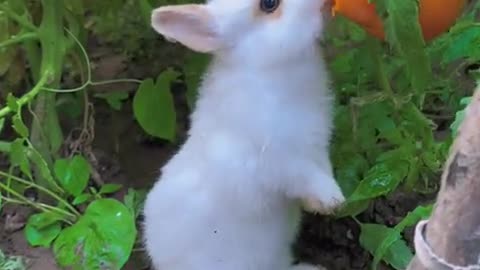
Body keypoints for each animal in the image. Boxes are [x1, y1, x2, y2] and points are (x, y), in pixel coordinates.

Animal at [142, 0, 344, 270]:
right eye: (269, 5)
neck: (267, 67)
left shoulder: (316, 146)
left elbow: (322, 168)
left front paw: (317, 204)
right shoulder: (277, 159)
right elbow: (305, 176)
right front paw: (333, 201)